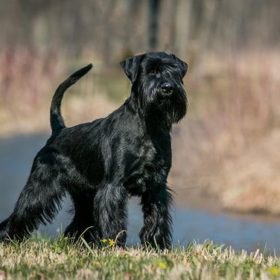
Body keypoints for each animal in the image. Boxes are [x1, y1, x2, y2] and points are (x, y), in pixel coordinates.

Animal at [0, 51, 188, 248]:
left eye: (175, 72)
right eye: (151, 71)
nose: (167, 87)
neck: (149, 125)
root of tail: (58, 131)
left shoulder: (157, 186)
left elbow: (157, 217)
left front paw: (157, 246)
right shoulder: (113, 186)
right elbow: (113, 219)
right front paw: (114, 245)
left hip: (85, 196)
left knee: (78, 223)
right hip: (40, 187)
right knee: (21, 213)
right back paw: (7, 239)